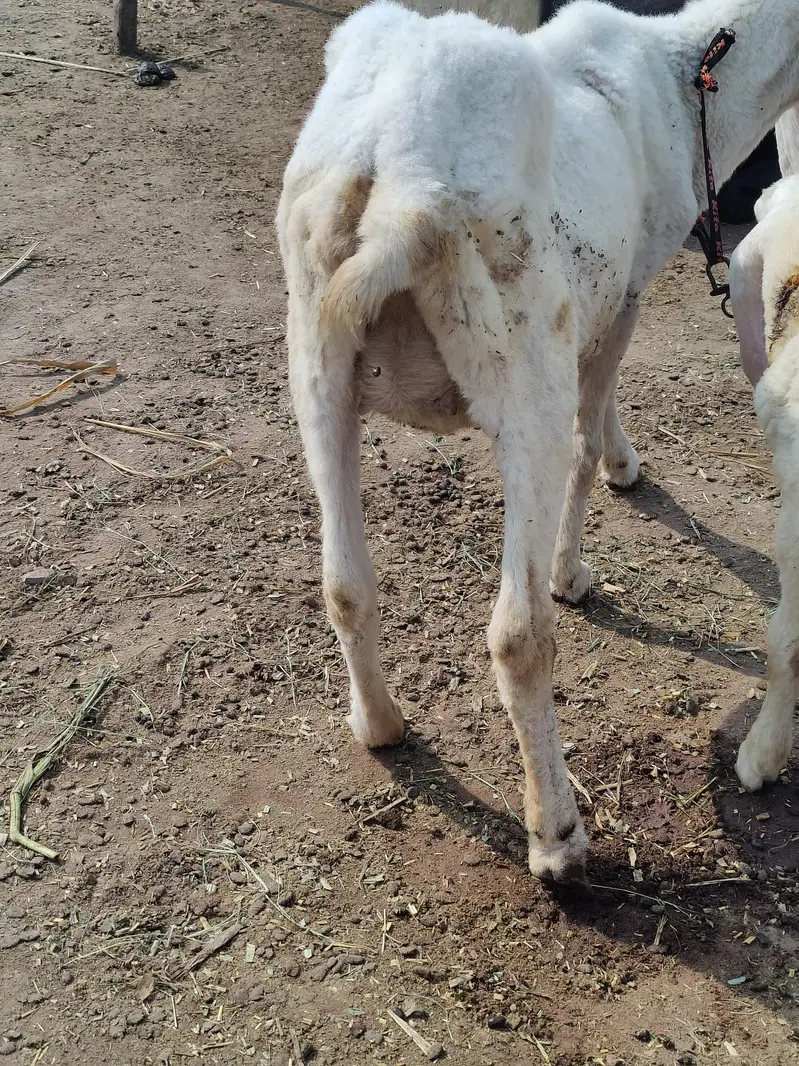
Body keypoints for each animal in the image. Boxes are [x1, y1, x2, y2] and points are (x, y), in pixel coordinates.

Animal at [277, 0, 799, 883]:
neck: (688, 79)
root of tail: (394, 198)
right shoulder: (624, 290)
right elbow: (592, 428)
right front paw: (579, 557)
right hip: (525, 367)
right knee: (518, 634)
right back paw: (555, 835)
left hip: (317, 359)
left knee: (343, 583)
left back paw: (379, 725)